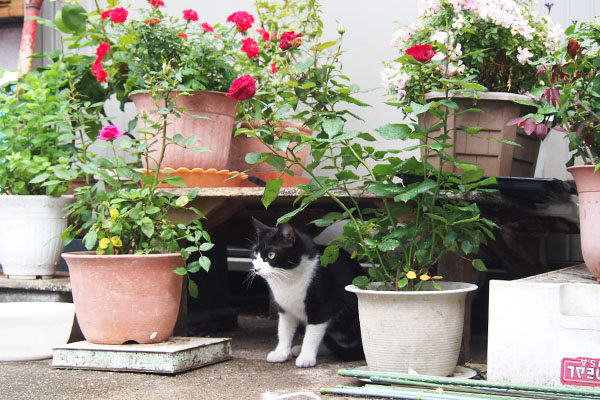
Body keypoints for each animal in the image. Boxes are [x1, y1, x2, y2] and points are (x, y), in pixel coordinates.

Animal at [250, 217, 364, 368]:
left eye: (271, 255)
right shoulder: (285, 309)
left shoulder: (321, 309)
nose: (256, 269)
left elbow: (312, 336)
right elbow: (284, 330)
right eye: (255, 254)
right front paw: (281, 352)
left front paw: (306, 357)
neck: (288, 278)